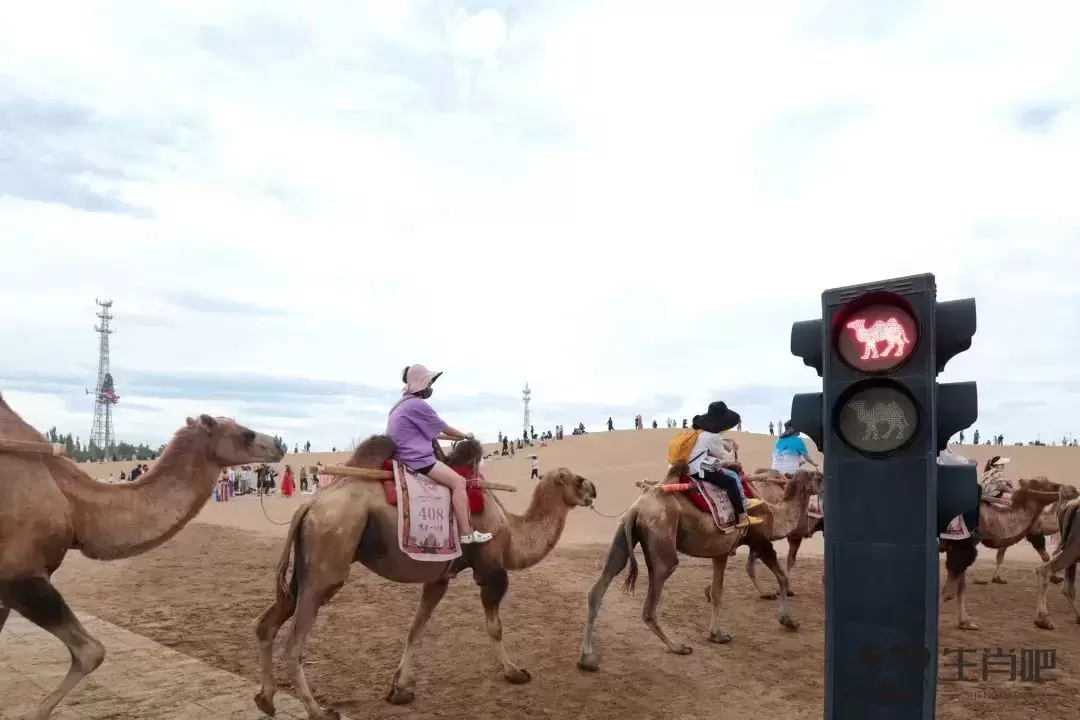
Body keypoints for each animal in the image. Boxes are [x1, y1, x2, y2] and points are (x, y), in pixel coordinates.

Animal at [253, 433, 600, 720]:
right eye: (578, 479)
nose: (594, 490)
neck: (511, 532)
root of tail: (309, 506)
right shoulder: (490, 570)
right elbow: (495, 628)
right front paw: (514, 673)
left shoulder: (439, 577)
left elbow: (416, 629)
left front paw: (399, 690)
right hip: (328, 563)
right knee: (294, 644)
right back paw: (319, 710)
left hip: (304, 570)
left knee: (266, 624)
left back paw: (266, 700)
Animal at [574, 464, 816, 673]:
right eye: (819, 478)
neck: (774, 513)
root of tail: (637, 508)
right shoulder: (759, 540)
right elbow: (782, 577)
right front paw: (789, 621)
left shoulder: (721, 552)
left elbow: (717, 592)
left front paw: (717, 634)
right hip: (662, 541)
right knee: (650, 604)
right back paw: (677, 647)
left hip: (623, 536)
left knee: (600, 586)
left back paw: (587, 658)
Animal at [937, 479, 1062, 630]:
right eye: (1048, 484)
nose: (1071, 489)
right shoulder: (962, 546)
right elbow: (950, 591)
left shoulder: (963, 547)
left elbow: (960, 588)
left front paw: (965, 623)